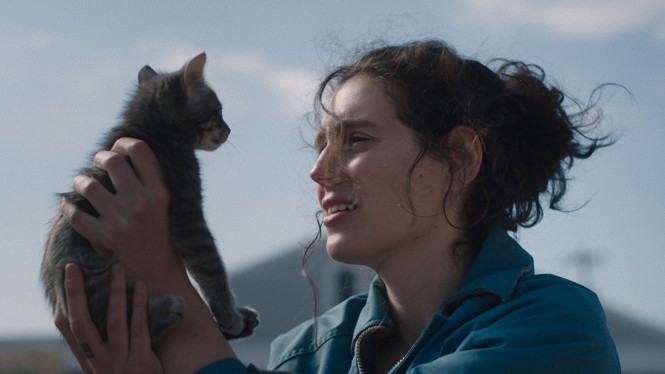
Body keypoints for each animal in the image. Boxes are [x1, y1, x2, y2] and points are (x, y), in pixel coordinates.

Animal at [39, 51, 256, 342]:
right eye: (219, 111)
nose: (229, 129)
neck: (151, 130)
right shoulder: (188, 218)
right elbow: (211, 267)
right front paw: (229, 313)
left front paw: (233, 316)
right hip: (89, 272)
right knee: (110, 318)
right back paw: (166, 310)